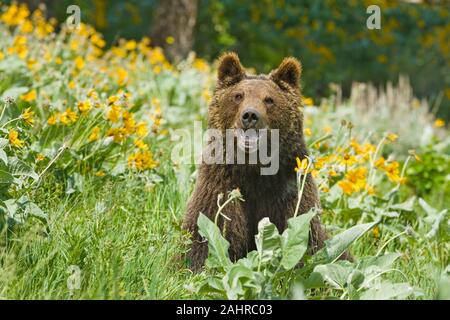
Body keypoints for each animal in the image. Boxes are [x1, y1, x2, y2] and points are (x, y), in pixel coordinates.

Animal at [183, 52, 334, 270]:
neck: (253, 168)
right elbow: (208, 225)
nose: (250, 115)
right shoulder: (222, 182)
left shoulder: (289, 188)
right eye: (238, 95)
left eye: (269, 99)